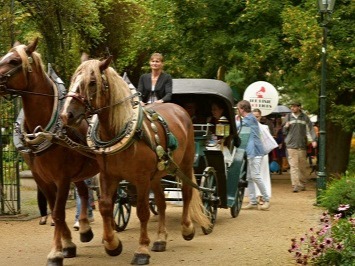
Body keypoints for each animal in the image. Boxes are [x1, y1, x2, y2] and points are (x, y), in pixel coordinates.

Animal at [0, 38, 99, 264]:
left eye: (14, 61)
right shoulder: (42, 178)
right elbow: (55, 210)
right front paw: (67, 245)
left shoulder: (62, 178)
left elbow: (58, 213)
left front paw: (55, 253)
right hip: (79, 173)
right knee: (83, 192)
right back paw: (85, 229)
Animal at [59, 56, 213, 264]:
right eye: (73, 79)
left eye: (92, 82)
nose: (66, 115)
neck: (117, 132)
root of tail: (179, 110)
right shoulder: (109, 176)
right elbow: (106, 206)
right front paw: (112, 244)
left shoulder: (141, 179)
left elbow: (142, 211)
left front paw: (142, 250)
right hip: (156, 175)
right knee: (161, 203)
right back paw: (160, 239)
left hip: (186, 165)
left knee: (187, 193)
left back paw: (187, 228)